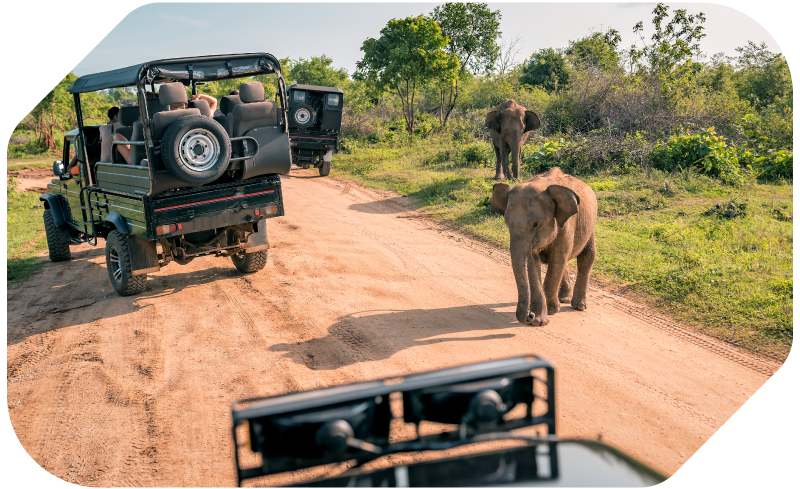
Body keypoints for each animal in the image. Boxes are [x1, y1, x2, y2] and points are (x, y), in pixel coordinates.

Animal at [490, 167, 598, 326]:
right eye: (507, 223)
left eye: (536, 224)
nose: (529, 315)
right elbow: (532, 263)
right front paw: (539, 320)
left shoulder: (566, 225)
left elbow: (558, 259)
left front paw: (551, 310)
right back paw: (563, 299)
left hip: (590, 225)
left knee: (586, 257)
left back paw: (578, 306)